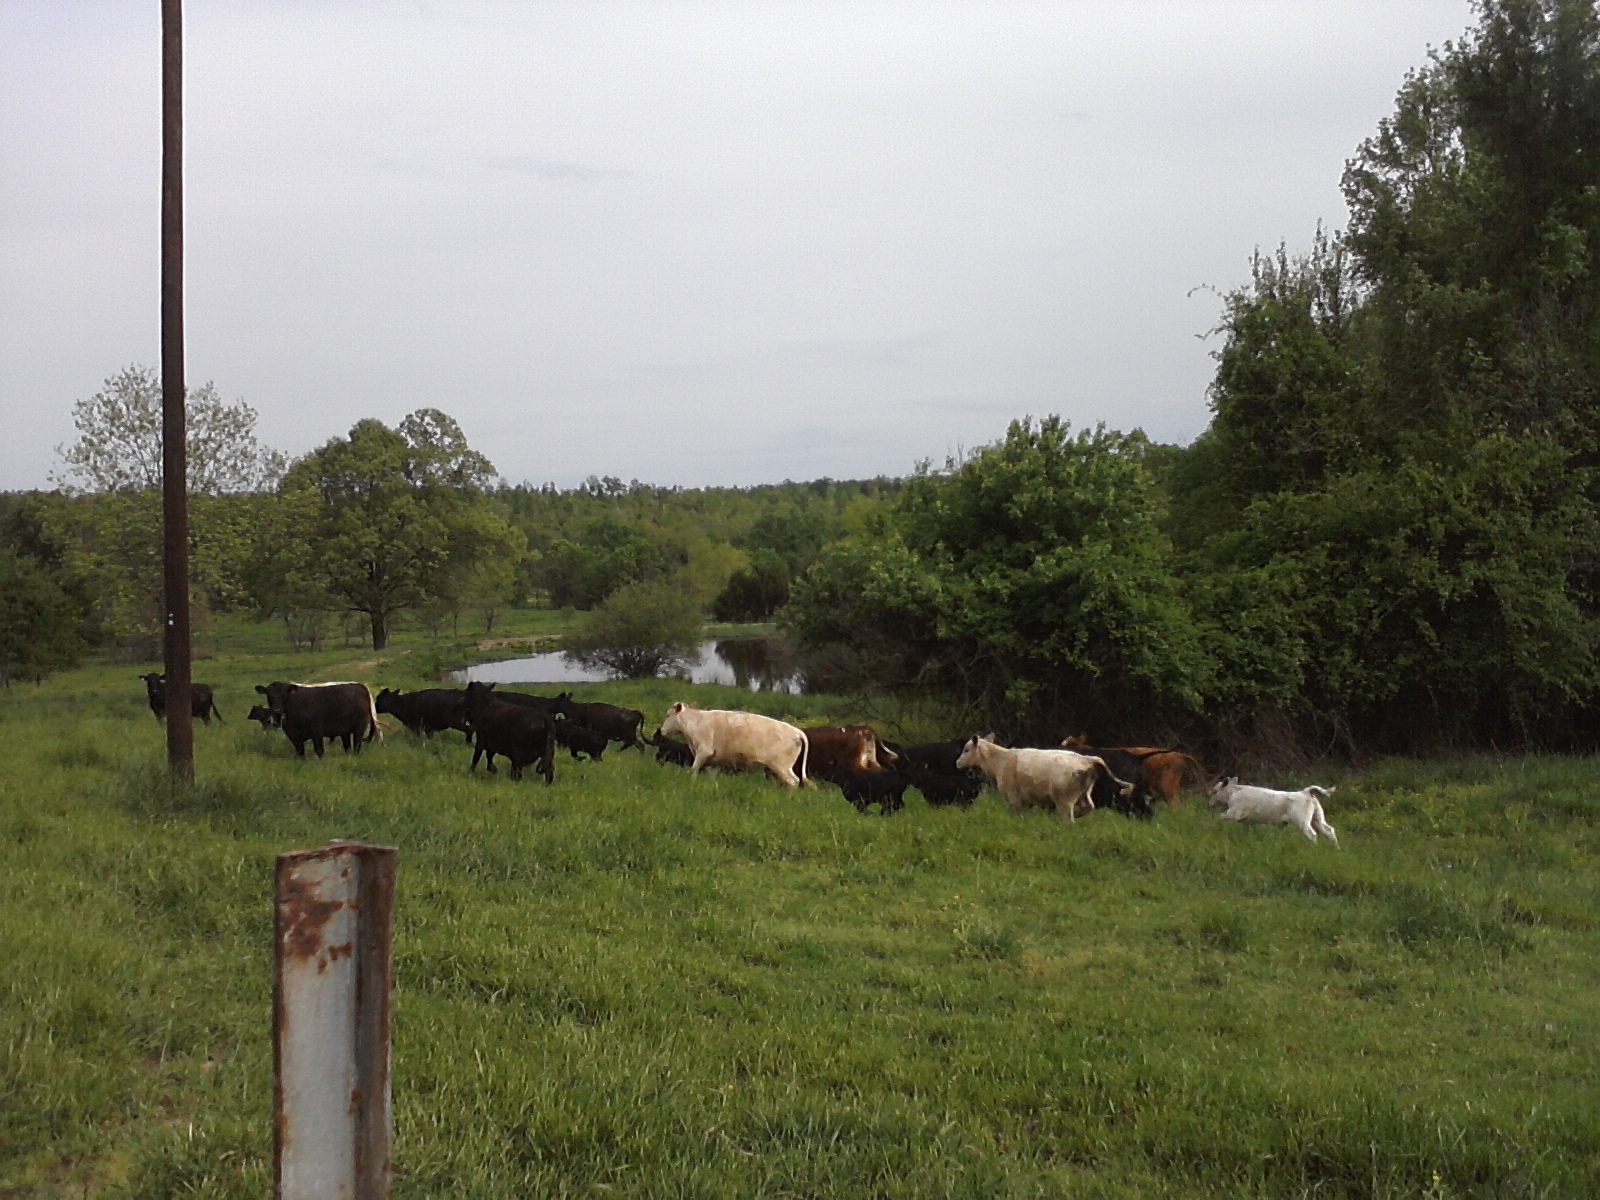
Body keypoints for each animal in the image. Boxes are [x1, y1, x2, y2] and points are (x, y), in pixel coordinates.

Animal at [659, 702, 809, 788]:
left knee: (793, 781)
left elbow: (693, 770)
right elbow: (712, 777)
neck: (696, 721)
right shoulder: (714, 761)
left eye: (667, 715)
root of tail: (797, 731)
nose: (661, 730)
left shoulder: (703, 752)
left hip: (782, 767)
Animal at [955, 735, 1133, 822]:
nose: (957, 763)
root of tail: (1087, 760)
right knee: (1087, 807)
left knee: (1068, 819)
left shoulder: (1015, 799)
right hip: (1083, 794)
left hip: (1064, 801)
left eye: (966, 750)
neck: (1001, 760)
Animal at [1208, 778, 1339, 845]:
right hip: (1318, 819)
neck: (1234, 792)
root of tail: (1306, 791)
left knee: (1312, 834)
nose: (1210, 803)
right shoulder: (1246, 820)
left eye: (1215, 791)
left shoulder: (1233, 812)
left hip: (1303, 822)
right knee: (1329, 831)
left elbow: (1219, 817)